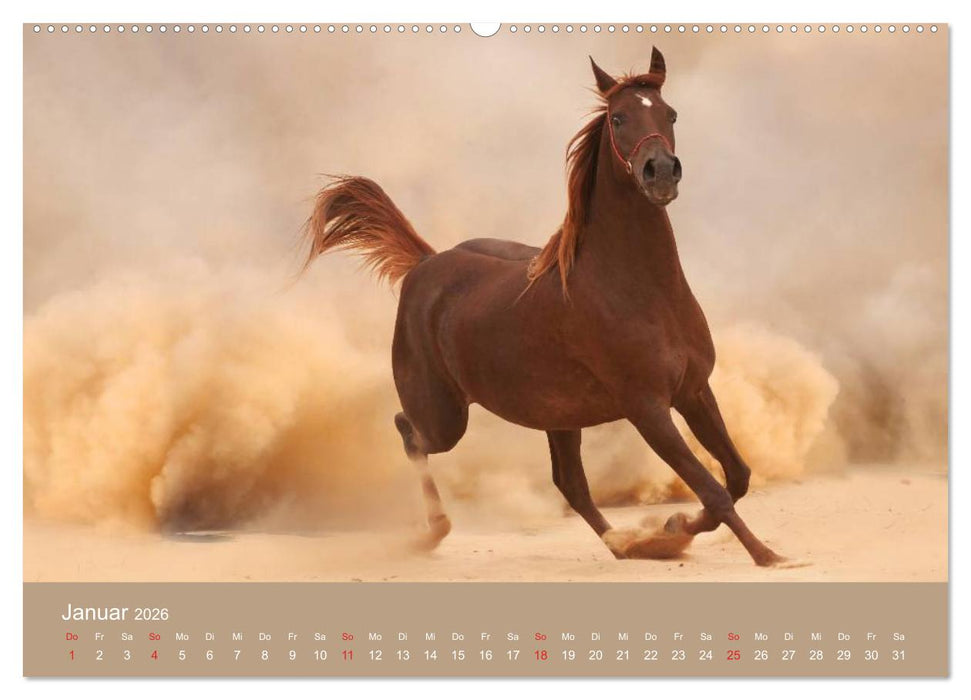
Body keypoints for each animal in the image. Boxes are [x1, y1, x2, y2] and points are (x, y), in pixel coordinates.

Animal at [302, 47, 784, 566]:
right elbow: (712, 488)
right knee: (408, 432)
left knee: (569, 484)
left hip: (559, 418)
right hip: (445, 418)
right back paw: (432, 533)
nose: (659, 172)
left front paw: (670, 530)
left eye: (670, 113)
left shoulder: (694, 391)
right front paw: (765, 554)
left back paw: (624, 544)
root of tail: (426, 263)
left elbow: (737, 476)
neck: (642, 290)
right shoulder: (648, 408)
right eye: (618, 118)